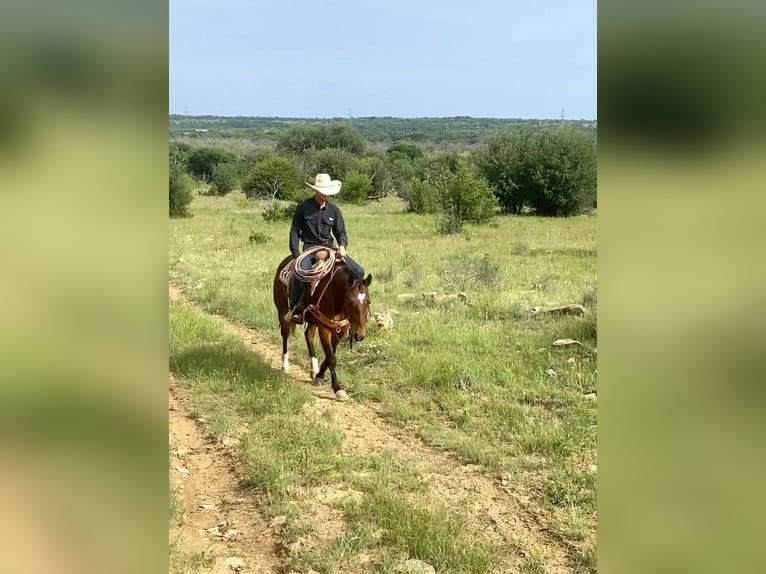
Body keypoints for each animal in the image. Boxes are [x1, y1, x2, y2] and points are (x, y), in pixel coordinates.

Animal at [274, 255, 374, 400]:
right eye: (350, 302)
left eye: (368, 302)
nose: (359, 335)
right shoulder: (324, 328)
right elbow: (332, 358)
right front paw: (337, 388)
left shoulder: (340, 329)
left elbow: (330, 355)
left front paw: (319, 375)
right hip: (283, 312)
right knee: (285, 336)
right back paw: (285, 365)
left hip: (312, 320)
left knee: (308, 335)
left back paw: (313, 368)